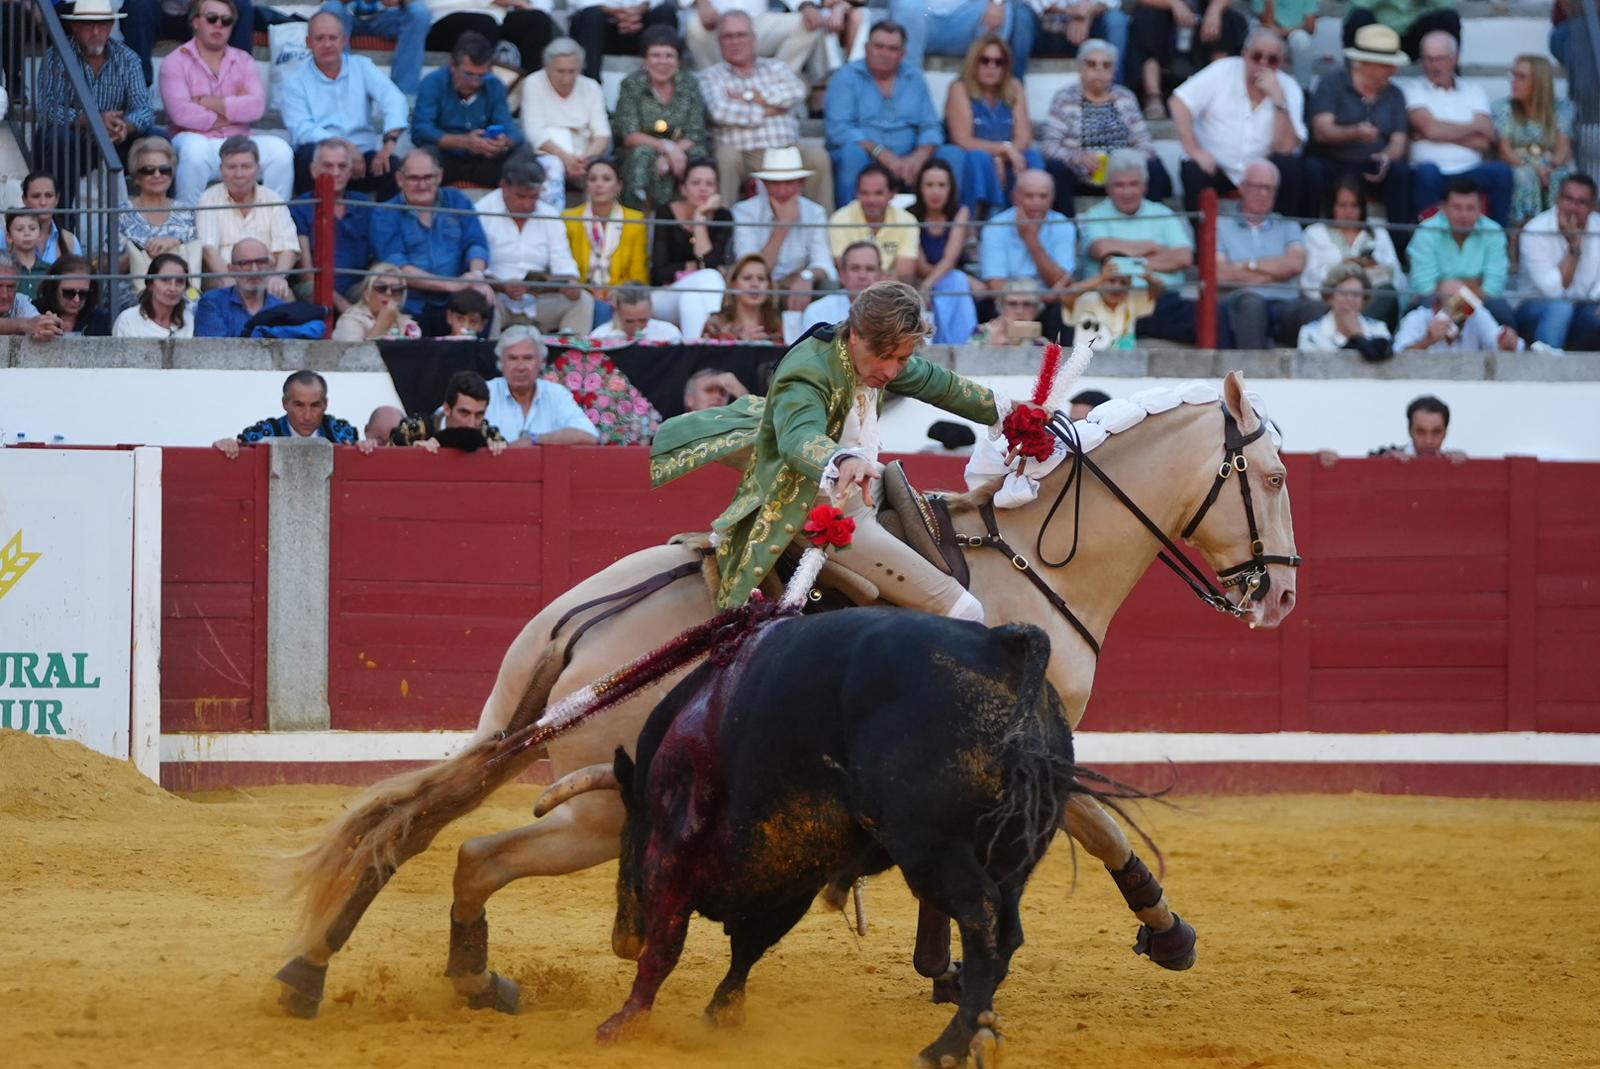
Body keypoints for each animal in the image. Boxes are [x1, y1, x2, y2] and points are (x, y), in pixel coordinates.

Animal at [595, 604, 1120, 1062]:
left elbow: (669, 942)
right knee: (1005, 931)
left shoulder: (676, 840)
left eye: (626, 840)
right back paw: (976, 1036)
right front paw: (721, 1014)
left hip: (930, 847)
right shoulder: (794, 866)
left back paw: (944, 1050)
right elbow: (750, 946)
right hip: (1013, 853)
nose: (622, 940)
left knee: (982, 915)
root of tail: (999, 646)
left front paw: (624, 1022)